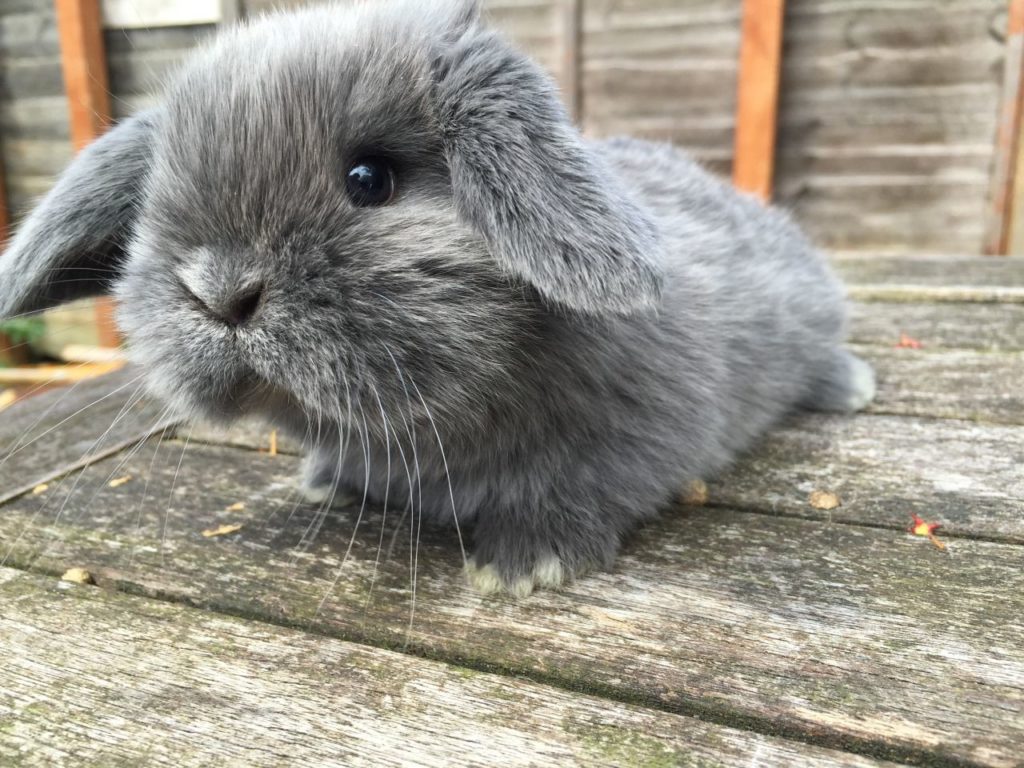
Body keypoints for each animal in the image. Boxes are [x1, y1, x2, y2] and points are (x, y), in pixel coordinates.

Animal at [0, 0, 874, 597]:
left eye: (369, 178)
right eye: (152, 202)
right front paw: (325, 478)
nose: (221, 292)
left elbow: (588, 487)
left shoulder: (643, 434)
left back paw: (851, 387)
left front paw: (526, 565)